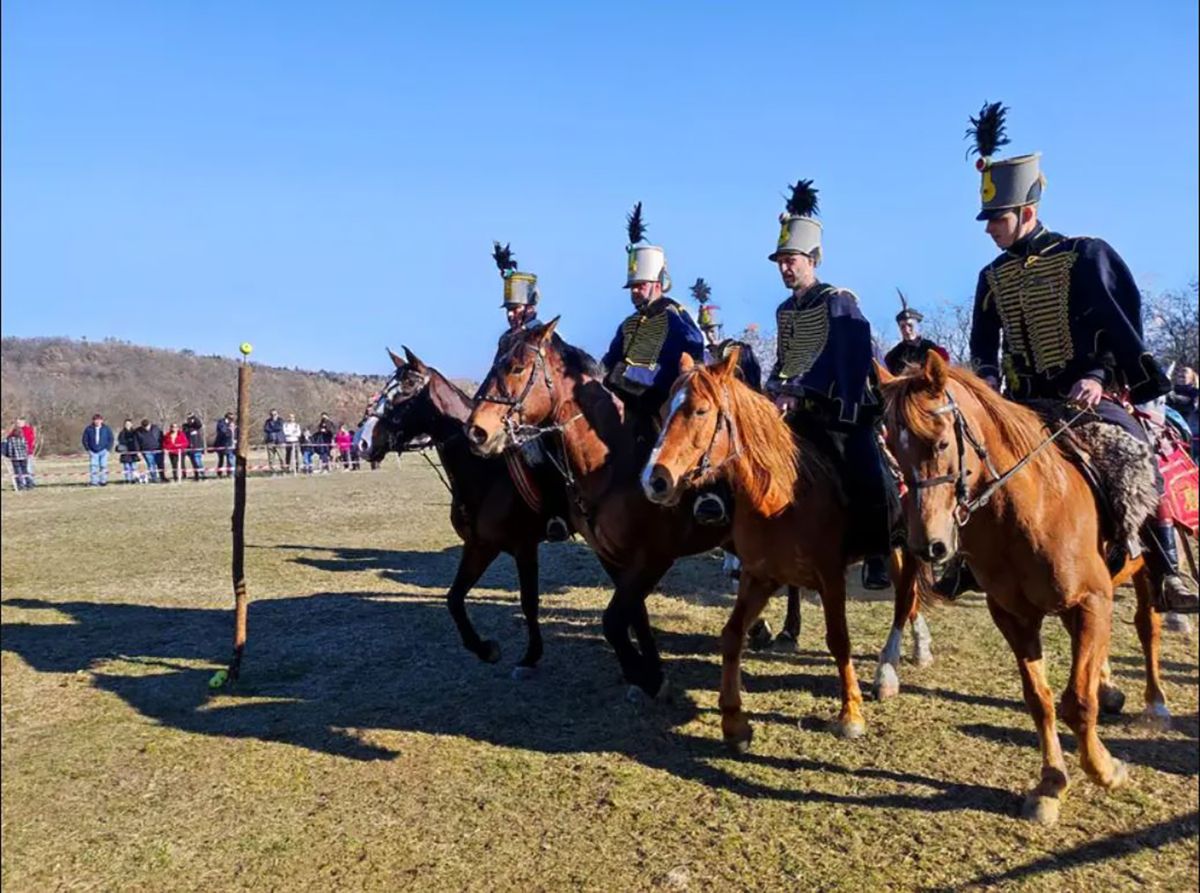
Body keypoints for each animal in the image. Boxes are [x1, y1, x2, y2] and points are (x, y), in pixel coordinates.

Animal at [357, 348, 554, 676]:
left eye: (407, 388)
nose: (361, 441)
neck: (488, 471)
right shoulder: (479, 546)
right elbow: (453, 599)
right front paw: (485, 649)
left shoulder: (525, 547)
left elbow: (529, 601)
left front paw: (531, 656)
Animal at [465, 319, 729, 696]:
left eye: (516, 367)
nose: (476, 432)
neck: (614, 462)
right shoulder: (613, 556)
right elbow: (633, 614)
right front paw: (651, 674)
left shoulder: (654, 558)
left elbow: (614, 621)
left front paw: (643, 674)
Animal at [643, 348, 921, 744]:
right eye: (666, 408)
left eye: (700, 411)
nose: (655, 480)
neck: (779, 495)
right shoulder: (760, 575)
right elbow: (732, 635)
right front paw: (734, 720)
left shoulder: (830, 577)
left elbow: (839, 639)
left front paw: (850, 714)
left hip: (910, 546)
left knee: (905, 598)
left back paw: (888, 671)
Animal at [873, 352, 1171, 825]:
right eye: (895, 450)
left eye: (940, 443)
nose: (927, 544)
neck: (1031, 508)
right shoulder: (1014, 616)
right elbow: (1040, 699)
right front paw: (1050, 784)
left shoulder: (1091, 601)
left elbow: (1076, 701)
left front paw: (1106, 769)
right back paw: (1109, 686)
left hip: (1143, 572)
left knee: (1147, 627)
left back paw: (1156, 702)